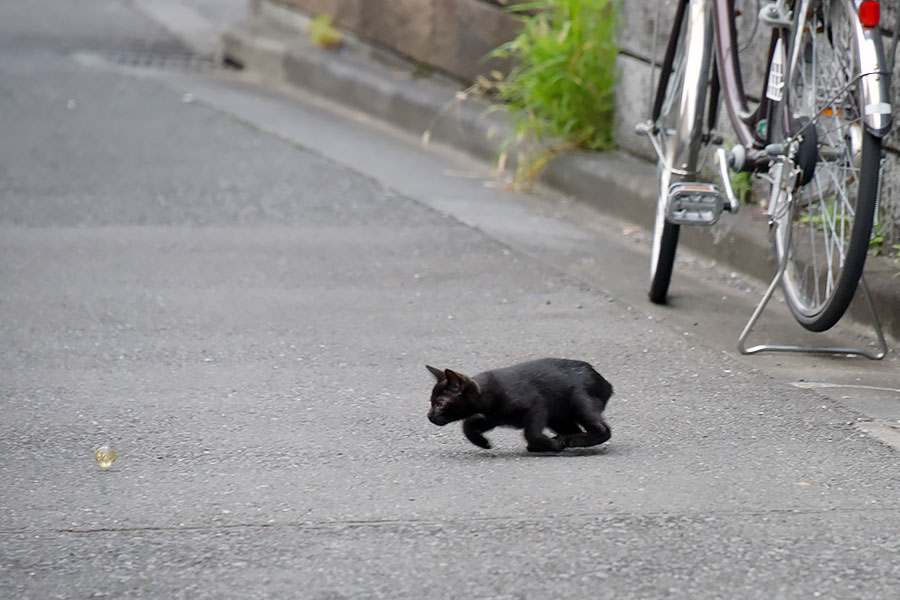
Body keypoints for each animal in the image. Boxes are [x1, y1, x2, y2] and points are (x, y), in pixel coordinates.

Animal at [428, 358, 612, 452]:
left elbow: (530, 433)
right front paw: (482, 442)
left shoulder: (537, 405)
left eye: (440, 404)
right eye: (431, 401)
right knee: (574, 429)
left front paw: (552, 445)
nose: (429, 416)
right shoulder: (493, 417)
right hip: (558, 417)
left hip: (578, 401)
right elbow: (467, 425)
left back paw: (567, 441)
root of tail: (606, 383)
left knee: (603, 430)